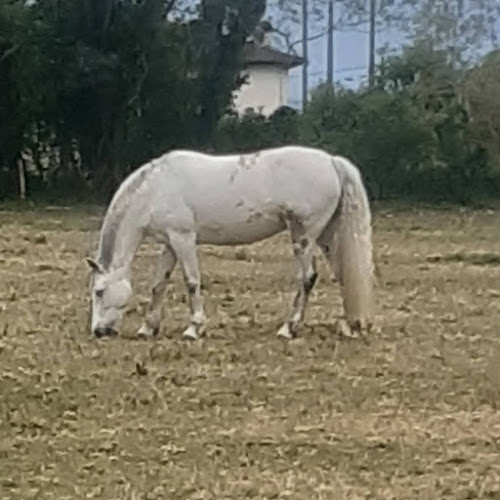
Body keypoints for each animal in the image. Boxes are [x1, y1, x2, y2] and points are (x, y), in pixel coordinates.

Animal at [87, 145, 376, 340]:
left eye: (99, 291)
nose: (98, 331)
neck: (155, 188)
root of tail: (331, 161)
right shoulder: (170, 243)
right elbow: (159, 284)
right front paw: (148, 327)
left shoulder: (184, 238)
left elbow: (191, 282)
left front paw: (193, 328)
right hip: (326, 236)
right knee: (342, 274)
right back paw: (349, 325)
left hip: (304, 237)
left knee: (308, 277)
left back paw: (288, 328)